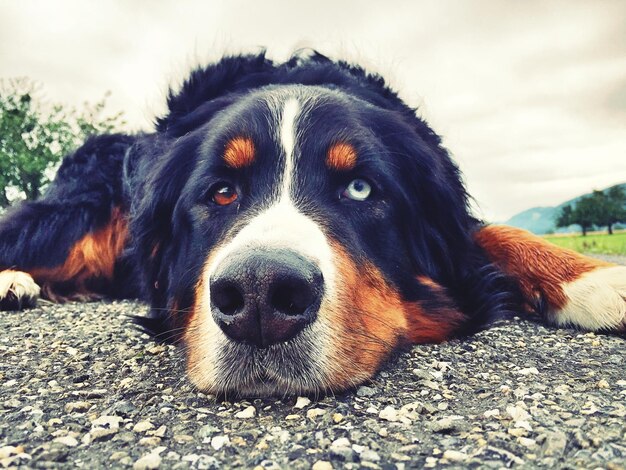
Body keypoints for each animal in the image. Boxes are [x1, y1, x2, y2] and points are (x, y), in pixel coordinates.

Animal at [1, 51, 624, 396]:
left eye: (360, 188)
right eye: (221, 192)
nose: (259, 294)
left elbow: (492, 233)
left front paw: (594, 278)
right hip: (77, 219)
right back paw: (14, 281)